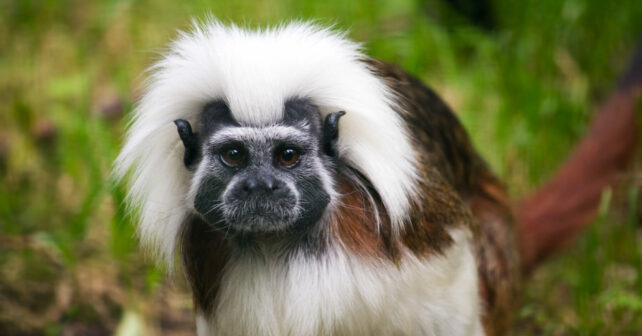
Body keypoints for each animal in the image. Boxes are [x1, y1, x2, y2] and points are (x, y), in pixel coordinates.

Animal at [114, 21, 636, 336]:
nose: (260, 188)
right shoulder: (212, 261)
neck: (288, 246)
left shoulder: (425, 235)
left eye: (287, 157)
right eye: (234, 156)